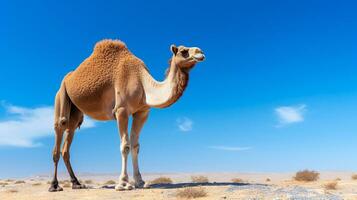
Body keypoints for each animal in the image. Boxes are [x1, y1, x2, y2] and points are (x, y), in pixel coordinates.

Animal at [49, 39, 206, 192]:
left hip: (75, 110)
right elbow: (125, 146)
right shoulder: (121, 110)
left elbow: (135, 145)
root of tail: (68, 78)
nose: (201, 52)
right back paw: (54, 186)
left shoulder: (142, 112)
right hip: (61, 95)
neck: (143, 83)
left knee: (69, 138)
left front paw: (140, 182)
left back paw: (76, 183)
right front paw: (123, 183)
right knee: (60, 128)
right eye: (184, 51)